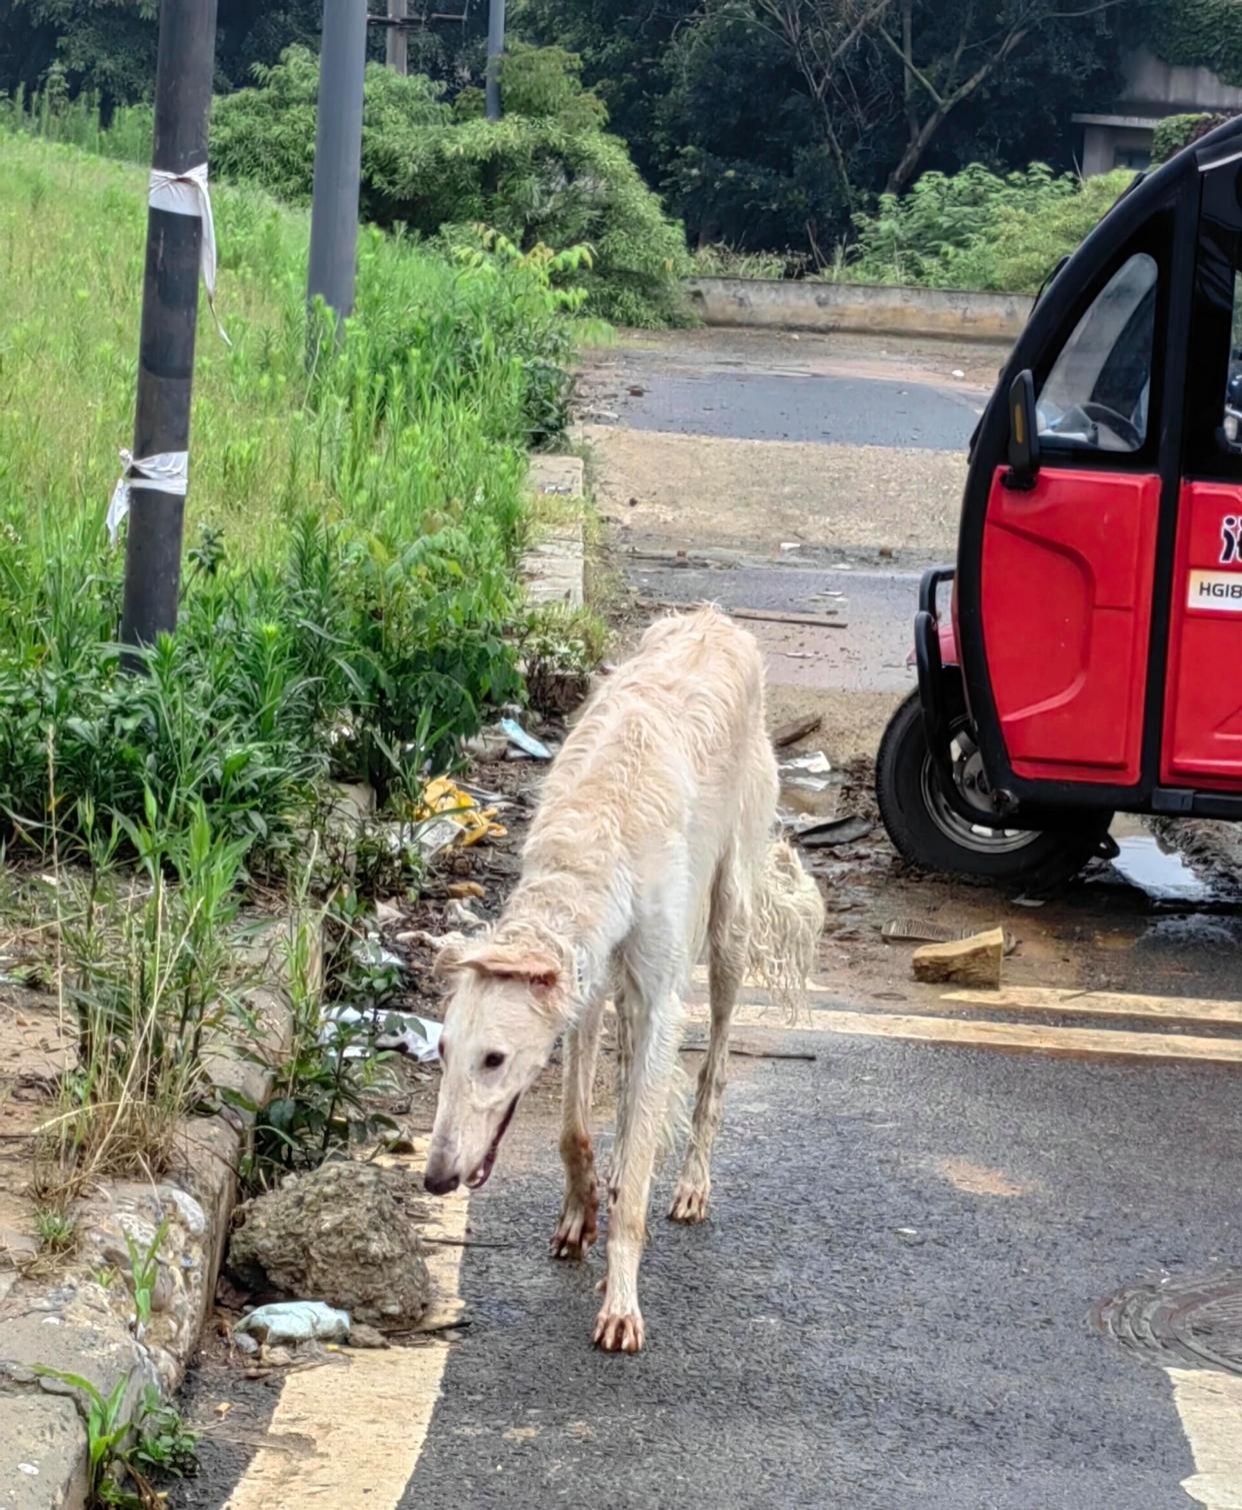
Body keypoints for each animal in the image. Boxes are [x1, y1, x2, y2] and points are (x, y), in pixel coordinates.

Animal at [428, 610, 826, 1359]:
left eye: (494, 1059)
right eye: (442, 1053)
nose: (436, 1178)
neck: (597, 836)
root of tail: (714, 617)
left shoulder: (661, 995)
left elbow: (640, 1166)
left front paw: (620, 1303)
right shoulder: (586, 987)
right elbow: (575, 1127)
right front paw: (581, 1211)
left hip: (728, 924)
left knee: (714, 1066)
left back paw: (693, 1183)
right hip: (625, 983)